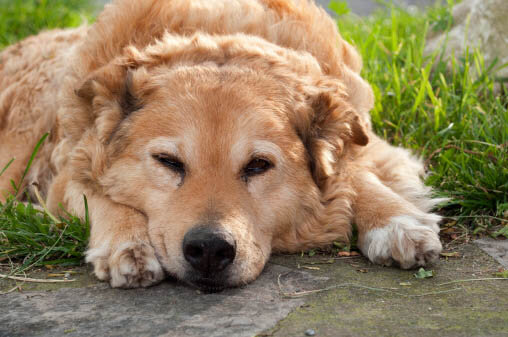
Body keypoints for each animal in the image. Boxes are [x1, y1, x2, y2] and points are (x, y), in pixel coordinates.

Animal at [0, 0, 442, 290]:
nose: (209, 250)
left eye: (258, 165)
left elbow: (355, 172)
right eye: (168, 162)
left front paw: (394, 219)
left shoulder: (371, 144)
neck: (217, 38)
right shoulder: (69, 168)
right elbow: (100, 194)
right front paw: (127, 241)